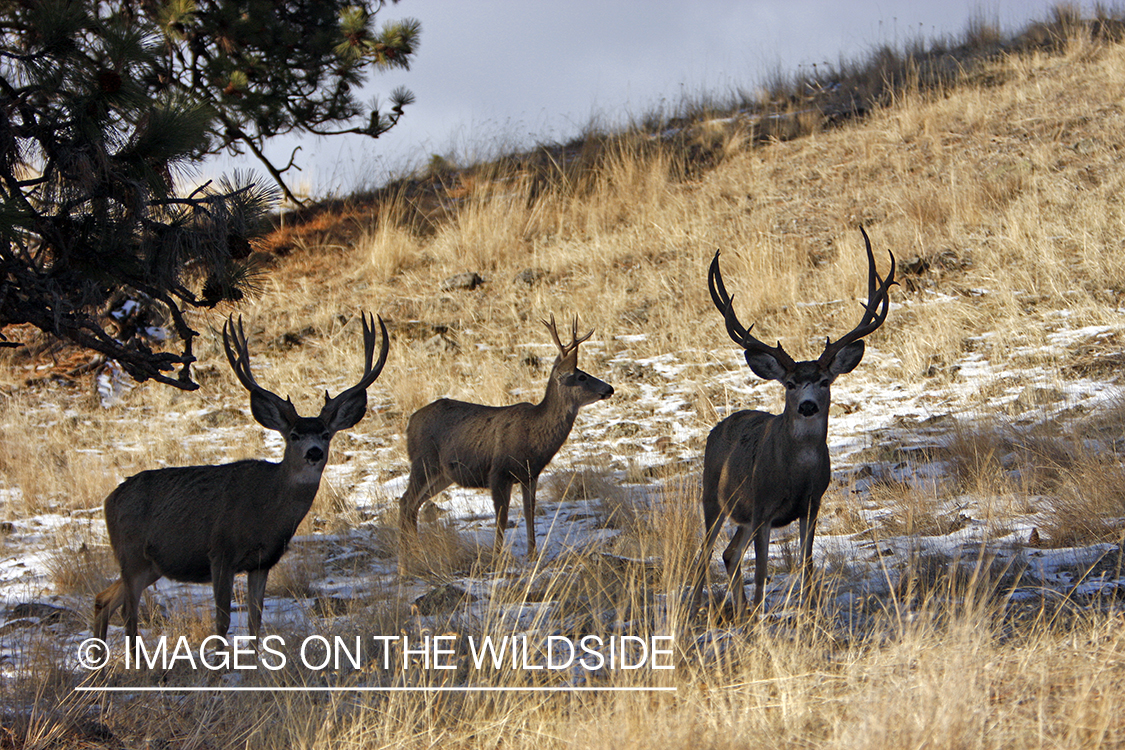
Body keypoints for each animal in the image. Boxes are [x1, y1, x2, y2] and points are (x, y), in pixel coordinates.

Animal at [93, 313, 389, 642]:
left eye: (326, 434)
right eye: (294, 435)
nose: (313, 452)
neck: (264, 510)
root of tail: (109, 499)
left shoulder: (262, 562)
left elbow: (255, 622)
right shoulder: (220, 551)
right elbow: (222, 622)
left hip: (150, 565)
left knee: (103, 599)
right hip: (131, 553)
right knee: (128, 614)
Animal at [398, 315, 613, 571]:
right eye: (581, 376)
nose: (610, 388)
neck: (534, 436)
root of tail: (410, 423)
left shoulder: (530, 475)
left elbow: (529, 513)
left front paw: (532, 554)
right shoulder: (498, 472)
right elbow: (501, 517)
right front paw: (498, 557)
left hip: (443, 475)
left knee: (414, 505)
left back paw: (414, 551)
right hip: (423, 462)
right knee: (405, 501)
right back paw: (406, 559)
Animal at [691, 227, 895, 614]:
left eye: (825, 381)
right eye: (790, 384)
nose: (808, 406)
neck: (796, 473)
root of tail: (718, 428)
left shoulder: (812, 505)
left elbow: (807, 564)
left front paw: (809, 609)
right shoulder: (762, 508)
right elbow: (762, 572)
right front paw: (760, 612)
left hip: (741, 514)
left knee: (729, 553)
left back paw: (739, 611)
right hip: (712, 496)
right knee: (705, 554)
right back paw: (700, 610)